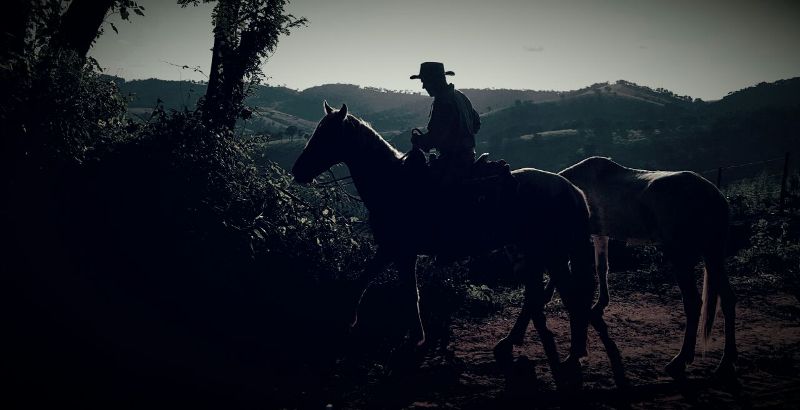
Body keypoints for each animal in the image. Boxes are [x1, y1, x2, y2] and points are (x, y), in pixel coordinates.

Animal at [560, 157, 736, 378]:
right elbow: (602, 268)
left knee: (693, 303)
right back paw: (726, 362)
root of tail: (714, 195)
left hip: (682, 256)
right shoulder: (601, 234)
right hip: (713, 254)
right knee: (728, 299)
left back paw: (681, 360)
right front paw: (600, 304)